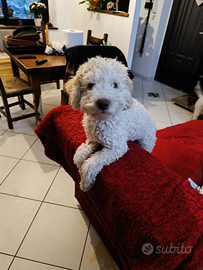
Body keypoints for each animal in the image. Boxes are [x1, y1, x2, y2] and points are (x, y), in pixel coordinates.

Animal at [65, 56, 155, 192]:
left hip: (146, 143)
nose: (103, 103)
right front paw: (79, 168)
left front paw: (86, 184)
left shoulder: (117, 147)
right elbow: (78, 156)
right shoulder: (92, 140)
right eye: (91, 85)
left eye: (115, 85)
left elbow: (90, 164)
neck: (102, 121)